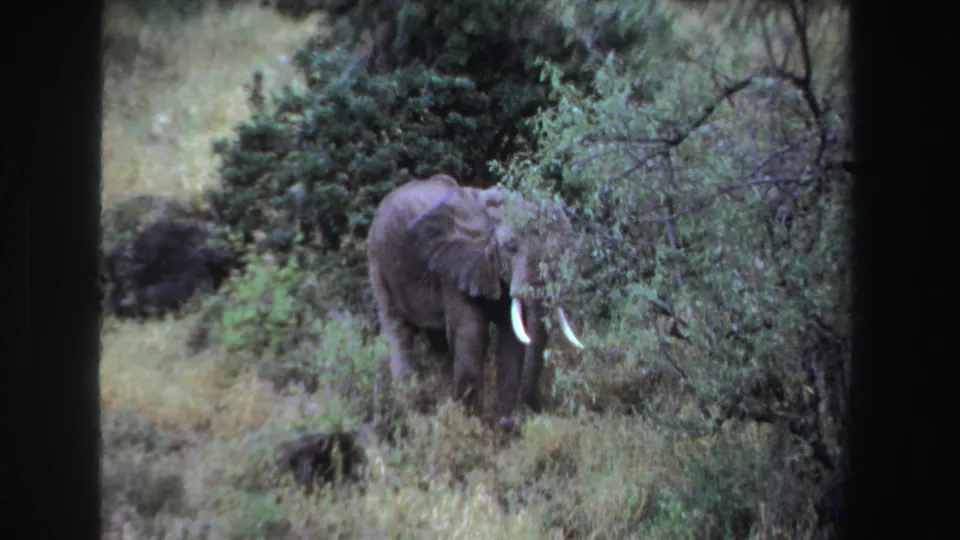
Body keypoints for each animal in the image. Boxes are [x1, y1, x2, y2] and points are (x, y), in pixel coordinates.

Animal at [367, 173, 584, 424]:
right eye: (510, 247)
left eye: (559, 249)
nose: (527, 413)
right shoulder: (453, 268)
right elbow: (471, 334)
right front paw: (470, 423)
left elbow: (511, 337)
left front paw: (504, 426)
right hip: (378, 261)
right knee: (398, 330)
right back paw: (410, 408)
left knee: (437, 340)